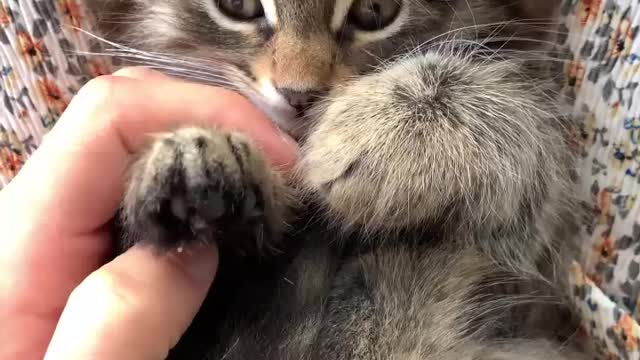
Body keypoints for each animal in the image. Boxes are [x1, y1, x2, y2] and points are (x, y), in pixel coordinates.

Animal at [86, 0, 592, 358]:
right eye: (237, 4)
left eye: (375, 9)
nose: (300, 95)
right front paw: (198, 169)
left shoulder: (522, 275)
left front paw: (383, 129)